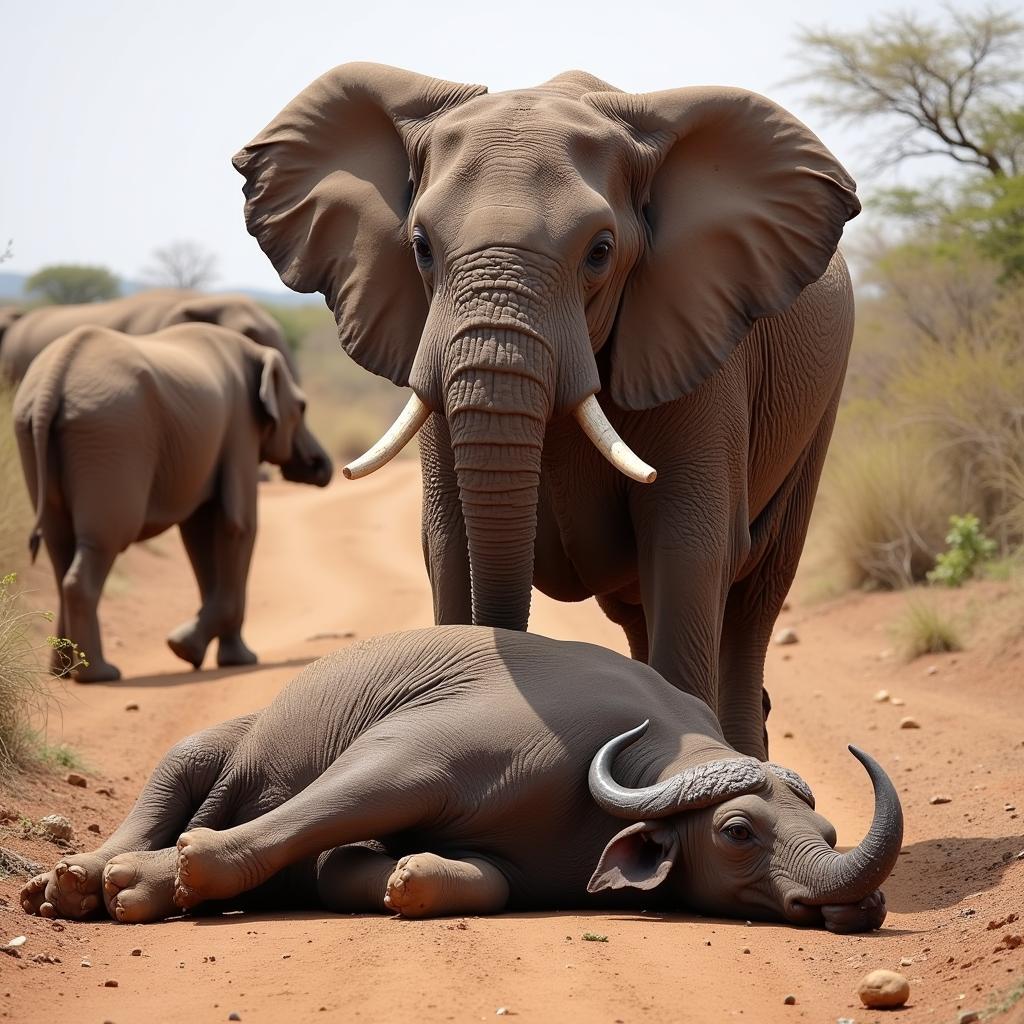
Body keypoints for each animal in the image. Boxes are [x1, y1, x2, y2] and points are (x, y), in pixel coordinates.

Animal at [12, 323, 331, 684]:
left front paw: (201, 653)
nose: (323, 467)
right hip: (110, 435)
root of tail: (52, 381)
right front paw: (204, 652)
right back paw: (100, 675)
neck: (254, 351)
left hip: (38, 436)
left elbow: (199, 534)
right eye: (302, 408)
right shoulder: (240, 428)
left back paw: (62, 673)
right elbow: (238, 525)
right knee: (103, 542)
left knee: (59, 546)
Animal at [18, 626, 905, 933]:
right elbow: (315, 811)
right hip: (207, 747)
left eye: (828, 833)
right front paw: (148, 881)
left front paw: (400, 876)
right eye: (738, 832)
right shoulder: (412, 756)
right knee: (177, 779)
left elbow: (473, 879)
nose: (860, 905)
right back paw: (79, 878)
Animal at [234, 59, 864, 757]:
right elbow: (448, 540)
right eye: (420, 246)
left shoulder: (705, 350)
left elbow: (691, 545)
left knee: (756, 597)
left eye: (601, 251)